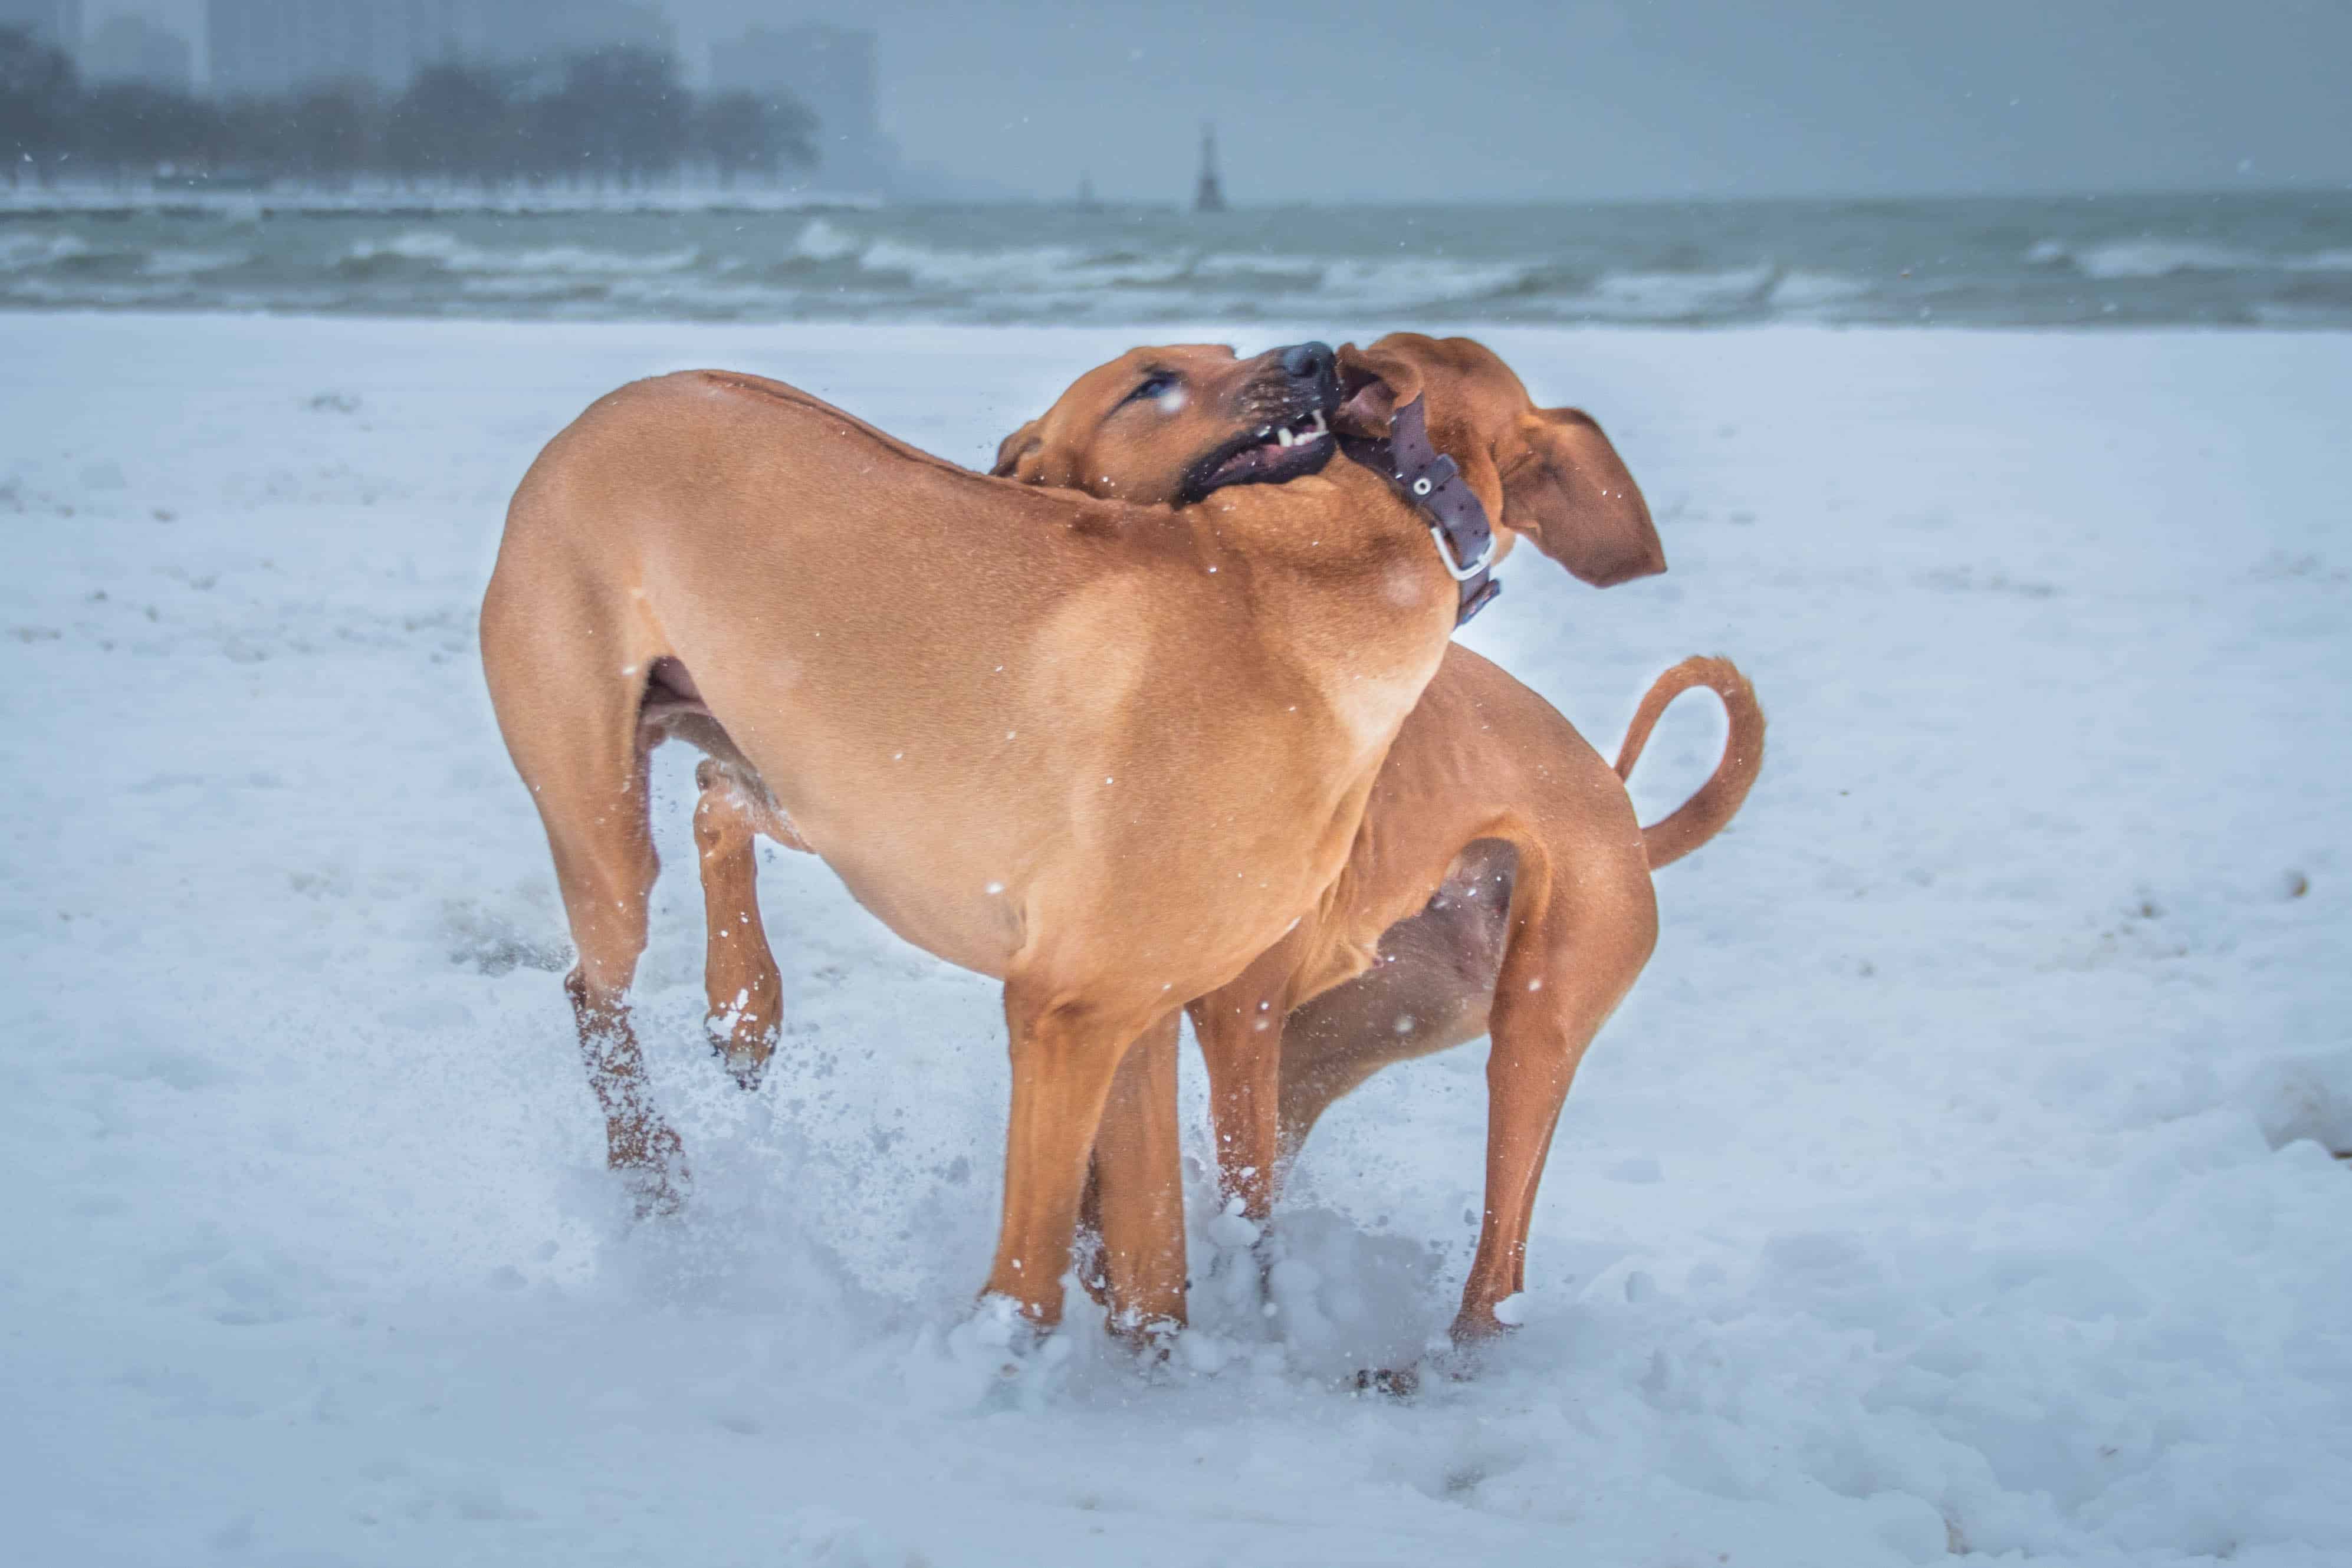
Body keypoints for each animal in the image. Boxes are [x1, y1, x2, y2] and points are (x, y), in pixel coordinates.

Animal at [477, 338, 1655, 1345]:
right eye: (1152, 383)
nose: (1314, 355)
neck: (1312, 559)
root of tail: (615, 401)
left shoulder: (1138, 1012)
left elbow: (1148, 1262)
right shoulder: (1074, 1010)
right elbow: (1035, 1274)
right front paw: (1004, 1368)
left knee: (716, 793)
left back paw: (743, 1010)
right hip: (607, 807)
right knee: (595, 979)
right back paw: (652, 1164)